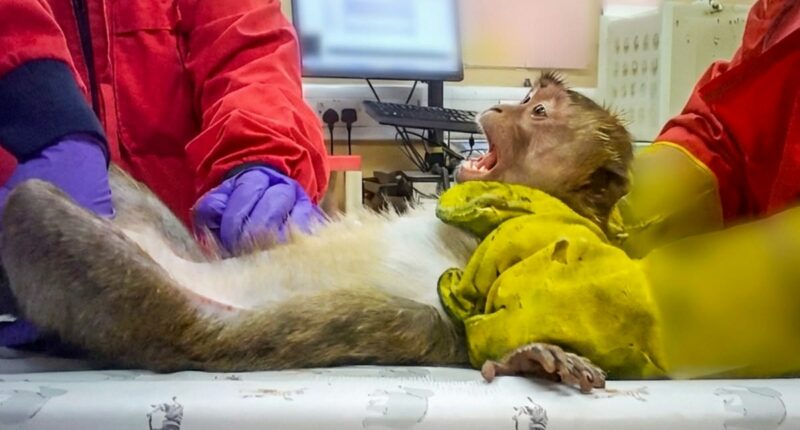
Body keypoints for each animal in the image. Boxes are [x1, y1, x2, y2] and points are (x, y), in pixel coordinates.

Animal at [0, 72, 632, 393]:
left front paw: (532, 355)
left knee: (31, 205)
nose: (500, 105)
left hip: (141, 313)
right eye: (528, 99)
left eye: (538, 114)